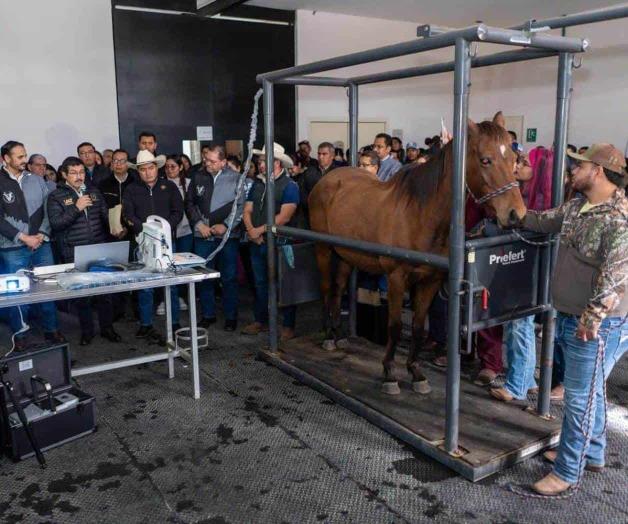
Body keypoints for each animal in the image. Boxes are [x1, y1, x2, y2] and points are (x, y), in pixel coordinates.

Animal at [308, 112, 524, 396]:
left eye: (514, 159)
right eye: (485, 159)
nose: (516, 214)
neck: (420, 215)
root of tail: (328, 178)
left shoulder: (430, 282)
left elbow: (420, 328)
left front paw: (416, 372)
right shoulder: (396, 278)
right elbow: (395, 326)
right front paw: (389, 373)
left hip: (346, 255)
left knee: (338, 288)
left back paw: (338, 335)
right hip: (323, 249)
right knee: (325, 288)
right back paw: (327, 336)